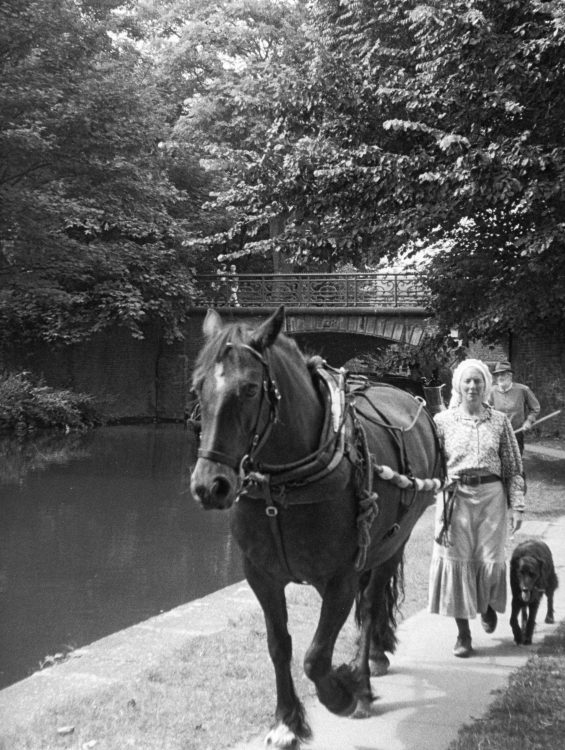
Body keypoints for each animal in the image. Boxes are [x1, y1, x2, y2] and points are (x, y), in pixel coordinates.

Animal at [191, 306, 446, 750]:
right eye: (197, 387)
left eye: (250, 389)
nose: (210, 485)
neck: (284, 485)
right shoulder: (261, 575)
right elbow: (280, 645)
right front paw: (286, 721)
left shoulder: (341, 576)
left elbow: (316, 656)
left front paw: (343, 692)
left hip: (389, 545)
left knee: (371, 604)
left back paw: (364, 678)